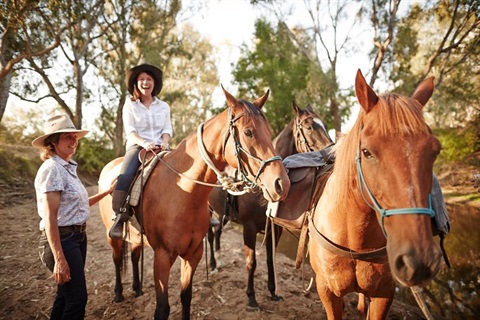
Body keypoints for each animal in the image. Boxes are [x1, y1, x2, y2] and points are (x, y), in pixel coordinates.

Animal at [98, 87, 290, 320]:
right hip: (112, 235)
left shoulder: (193, 253)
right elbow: (162, 309)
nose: (281, 183)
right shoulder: (162, 257)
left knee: (134, 256)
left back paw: (137, 288)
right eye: (248, 132)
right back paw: (118, 293)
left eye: (270, 132)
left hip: (136, 236)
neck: (183, 193)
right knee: (117, 260)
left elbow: (186, 297)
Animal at [206, 101, 334, 308]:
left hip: (222, 215)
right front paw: (251, 297)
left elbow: (269, 259)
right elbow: (252, 262)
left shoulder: (275, 227)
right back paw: (212, 264)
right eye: (309, 127)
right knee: (210, 236)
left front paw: (273, 292)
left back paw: (218, 260)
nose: (332, 152)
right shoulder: (249, 227)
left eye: (323, 124)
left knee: (217, 233)